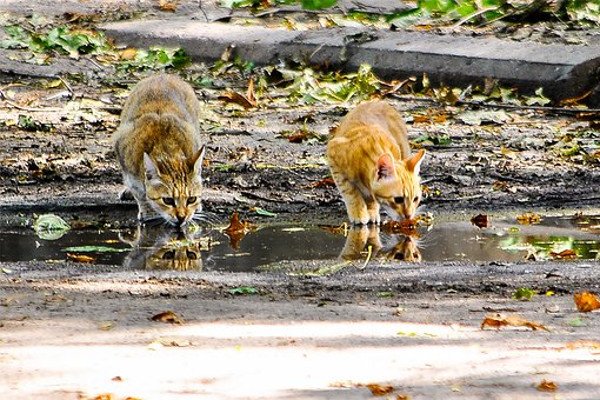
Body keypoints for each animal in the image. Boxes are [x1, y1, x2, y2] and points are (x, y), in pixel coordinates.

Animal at [113, 73, 206, 227]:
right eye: (168, 200)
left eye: (191, 199)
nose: (182, 217)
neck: (167, 148)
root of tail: (162, 74)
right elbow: (139, 193)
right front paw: (147, 210)